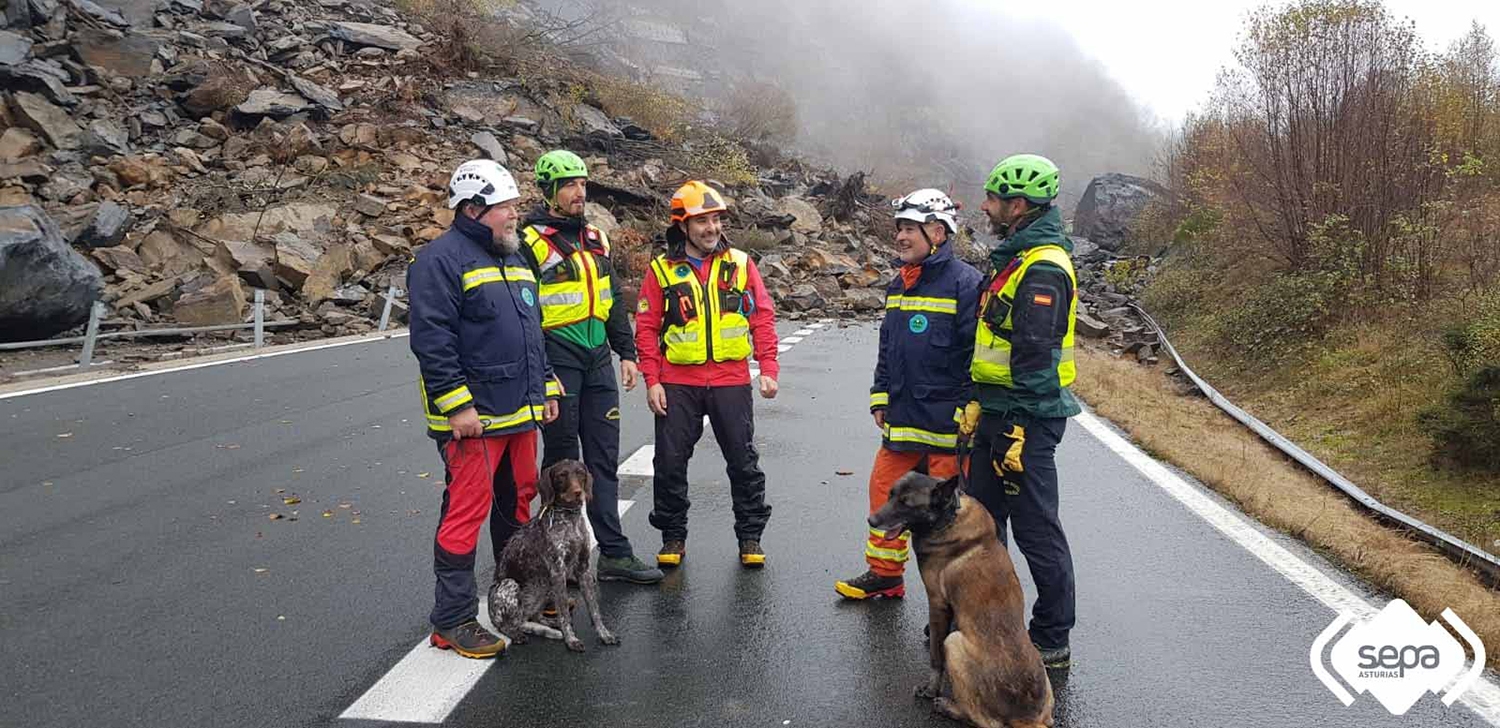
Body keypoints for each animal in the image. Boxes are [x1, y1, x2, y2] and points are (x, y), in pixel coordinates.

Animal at [870, 468, 1056, 723]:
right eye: (890, 495)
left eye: (906, 504)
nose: (871, 521)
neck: (948, 518)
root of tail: (1027, 717)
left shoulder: (936, 603)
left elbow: (935, 657)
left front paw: (931, 689)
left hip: (954, 641)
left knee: (980, 718)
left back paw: (948, 706)